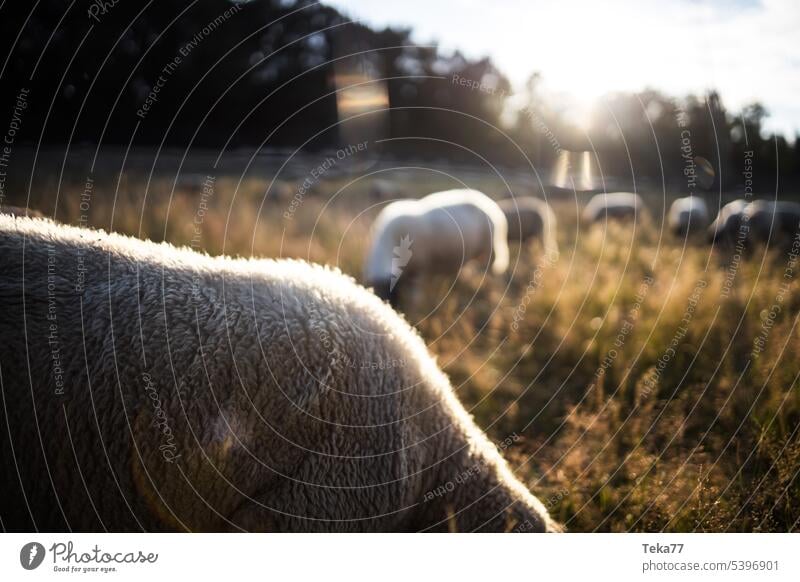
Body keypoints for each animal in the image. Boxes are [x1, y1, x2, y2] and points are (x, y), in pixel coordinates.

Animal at [362, 189, 506, 306]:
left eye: (391, 293)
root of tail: (486, 200)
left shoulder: (419, 268)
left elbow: (415, 295)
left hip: (491, 248)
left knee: (492, 270)